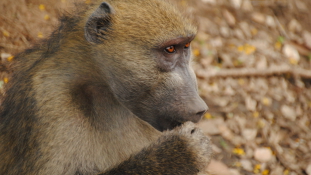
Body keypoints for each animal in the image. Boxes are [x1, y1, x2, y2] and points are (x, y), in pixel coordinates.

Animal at [0, 0, 213, 174]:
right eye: (170, 49)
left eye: (186, 47)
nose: (200, 109)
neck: (100, 87)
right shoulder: (48, 100)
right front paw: (179, 153)